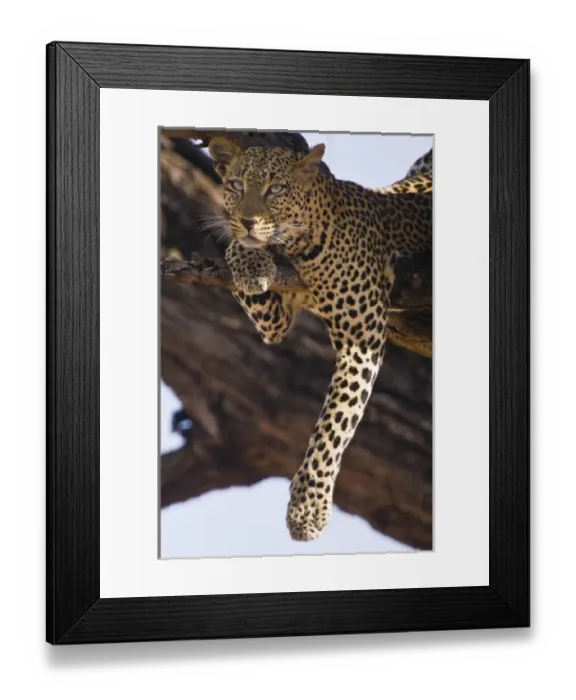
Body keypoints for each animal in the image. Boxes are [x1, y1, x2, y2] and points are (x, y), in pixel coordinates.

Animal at [208, 137, 432, 542]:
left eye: (276, 189)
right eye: (236, 185)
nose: (248, 221)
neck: (300, 242)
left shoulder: (361, 338)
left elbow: (334, 424)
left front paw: (307, 508)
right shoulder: (275, 318)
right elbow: (242, 256)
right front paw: (251, 262)